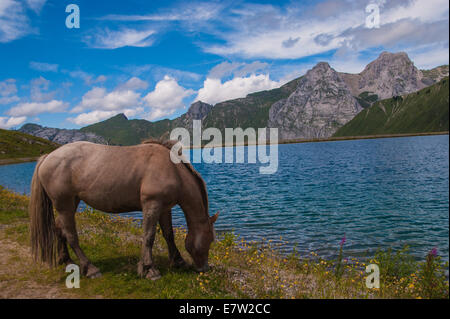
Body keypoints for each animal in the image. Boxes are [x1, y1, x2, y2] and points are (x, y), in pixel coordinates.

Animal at [28, 140, 218, 280]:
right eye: (209, 240)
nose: (204, 268)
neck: (172, 169)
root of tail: (47, 157)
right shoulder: (152, 205)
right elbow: (149, 236)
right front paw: (149, 269)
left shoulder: (165, 208)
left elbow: (168, 234)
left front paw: (178, 261)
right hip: (64, 205)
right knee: (71, 235)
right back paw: (90, 268)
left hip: (70, 203)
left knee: (59, 229)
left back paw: (66, 260)